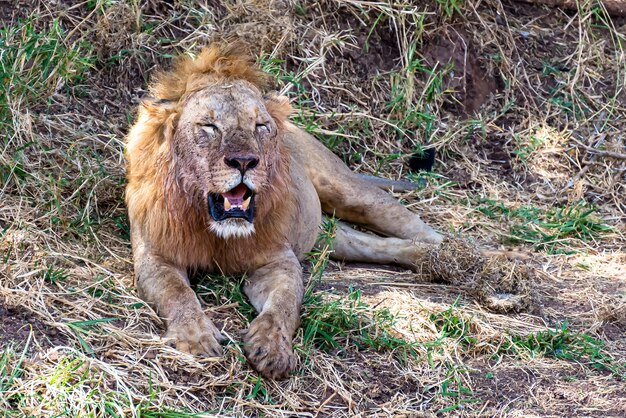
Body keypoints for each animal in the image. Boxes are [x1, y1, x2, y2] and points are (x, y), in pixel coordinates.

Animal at [123, 44, 444, 380]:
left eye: (260, 126)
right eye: (209, 126)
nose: (244, 161)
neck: (216, 230)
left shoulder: (277, 257)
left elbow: (284, 304)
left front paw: (273, 348)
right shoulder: (156, 255)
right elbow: (177, 293)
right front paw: (195, 338)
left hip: (347, 190)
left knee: (412, 223)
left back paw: (458, 257)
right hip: (329, 235)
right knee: (382, 246)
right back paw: (430, 260)